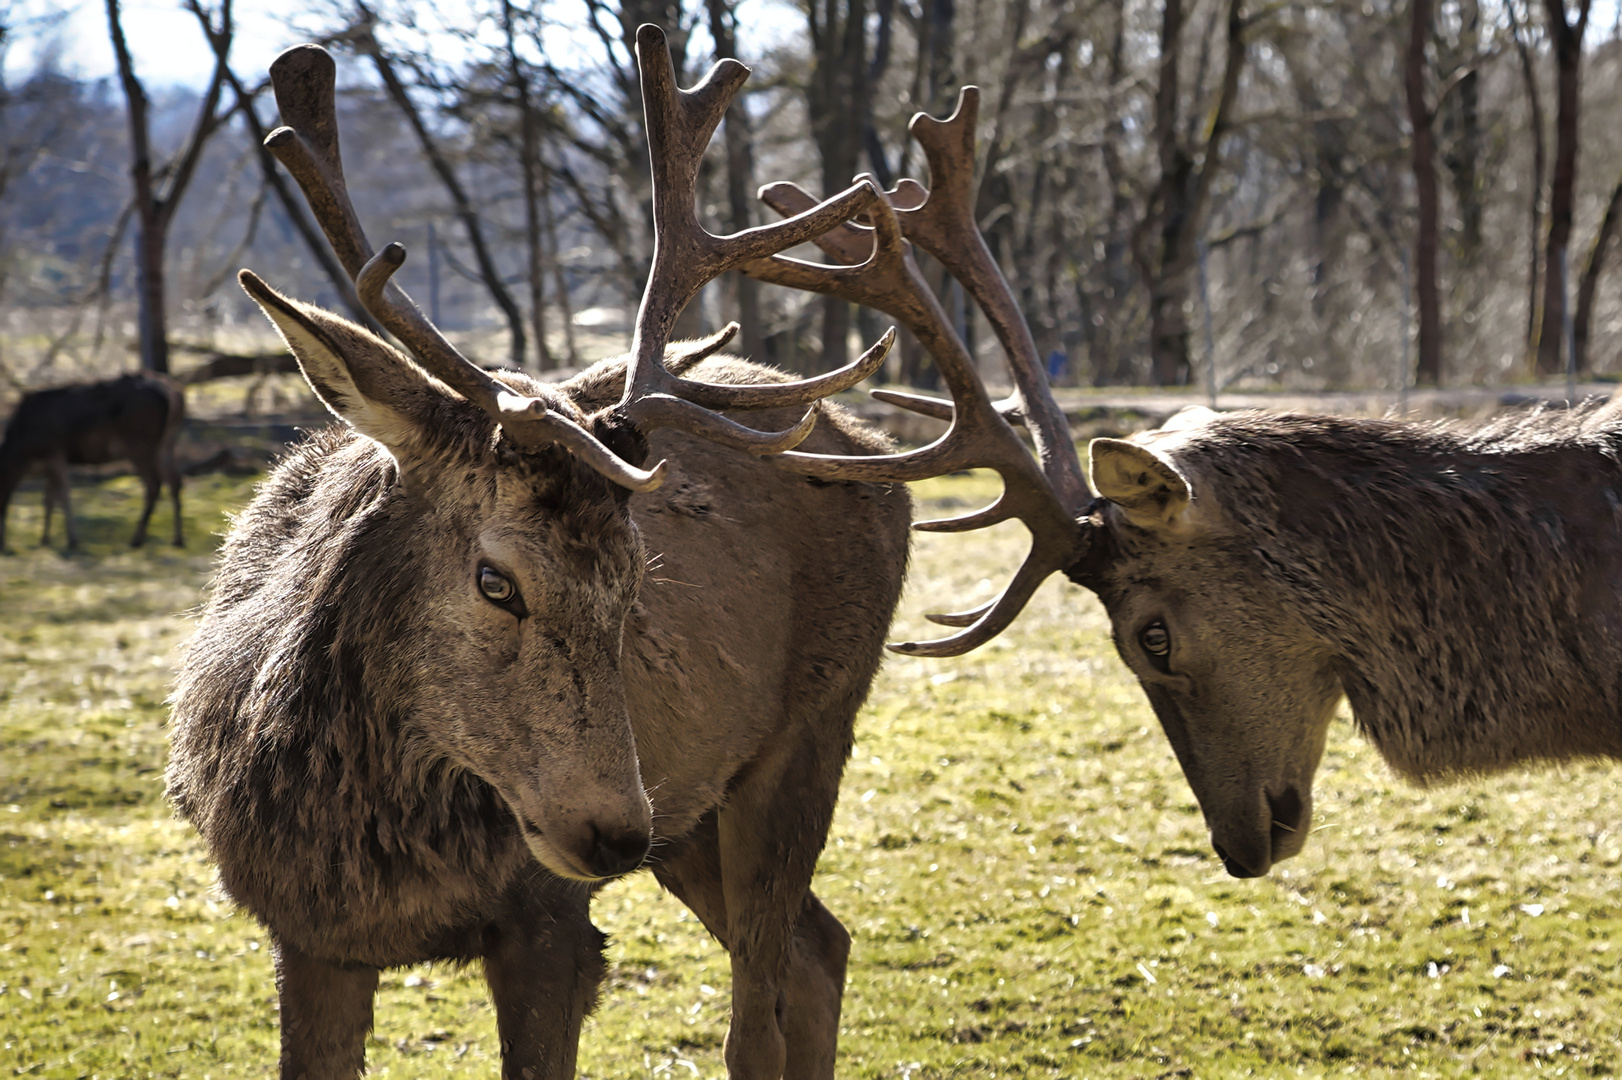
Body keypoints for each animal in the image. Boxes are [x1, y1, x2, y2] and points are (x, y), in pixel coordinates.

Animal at [0, 372, 184, 554]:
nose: (3, 548)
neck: (23, 453)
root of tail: (173, 395)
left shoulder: (54, 451)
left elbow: (63, 495)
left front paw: (72, 540)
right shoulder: (50, 462)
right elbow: (49, 498)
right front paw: (45, 540)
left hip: (139, 444)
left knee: (154, 483)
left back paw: (137, 540)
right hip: (165, 443)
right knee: (175, 480)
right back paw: (177, 539)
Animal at [172, 27, 921, 1076]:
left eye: (634, 583)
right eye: (497, 580)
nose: (609, 830)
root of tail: (879, 455)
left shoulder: (550, 921)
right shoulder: (305, 933)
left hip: (804, 735)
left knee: (761, 1010)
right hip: (690, 815)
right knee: (824, 944)